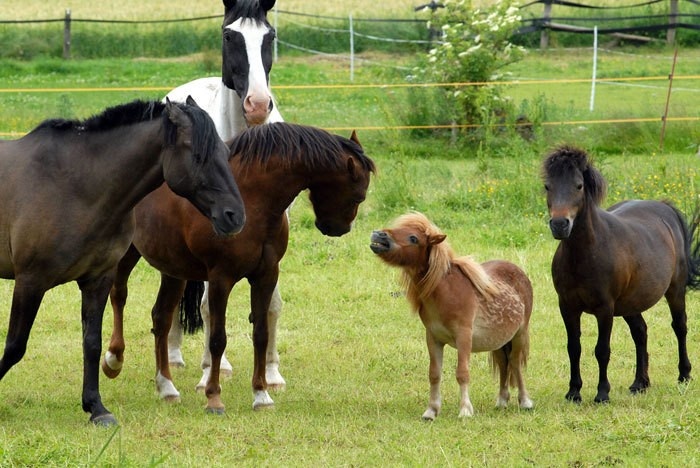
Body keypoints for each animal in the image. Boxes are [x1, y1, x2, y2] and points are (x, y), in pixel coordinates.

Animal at [0, 97, 246, 426]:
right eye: (197, 156)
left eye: (226, 152)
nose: (235, 216)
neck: (74, 186)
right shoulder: (31, 281)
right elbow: (15, 345)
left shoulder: (97, 279)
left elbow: (91, 343)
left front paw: (96, 408)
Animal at [102, 120, 374, 414]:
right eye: (358, 196)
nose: (338, 228)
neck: (250, 198)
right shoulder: (221, 278)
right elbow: (218, 338)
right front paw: (213, 396)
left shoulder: (266, 275)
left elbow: (261, 333)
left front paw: (261, 394)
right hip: (128, 254)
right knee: (119, 296)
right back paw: (113, 359)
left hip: (173, 270)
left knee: (161, 318)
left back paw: (167, 387)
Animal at [370, 212, 532, 420]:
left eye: (413, 238)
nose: (379, 235)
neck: (445, 292)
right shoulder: (433, 338)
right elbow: (434, 374)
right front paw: (431, 411)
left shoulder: (464, 336)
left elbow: (462, 373)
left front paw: (465, 410)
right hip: (499, 340)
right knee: (504, 364)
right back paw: (502, 401)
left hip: (519, 334)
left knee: (515, 363)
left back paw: (525, 401)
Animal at [544, 145, 696, 402]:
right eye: (548, 186)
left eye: (579, 185)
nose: (559, 224)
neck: (586, 254)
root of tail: (665, 207)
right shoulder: (567, 306)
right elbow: (574, 348)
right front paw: (574, 392)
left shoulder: (605, 309)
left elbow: (602, 350)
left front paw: (602, 393)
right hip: (630, 303)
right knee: (640, 332)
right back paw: (640, 383)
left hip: (675, 291)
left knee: (680, 326)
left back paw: (684, 375)